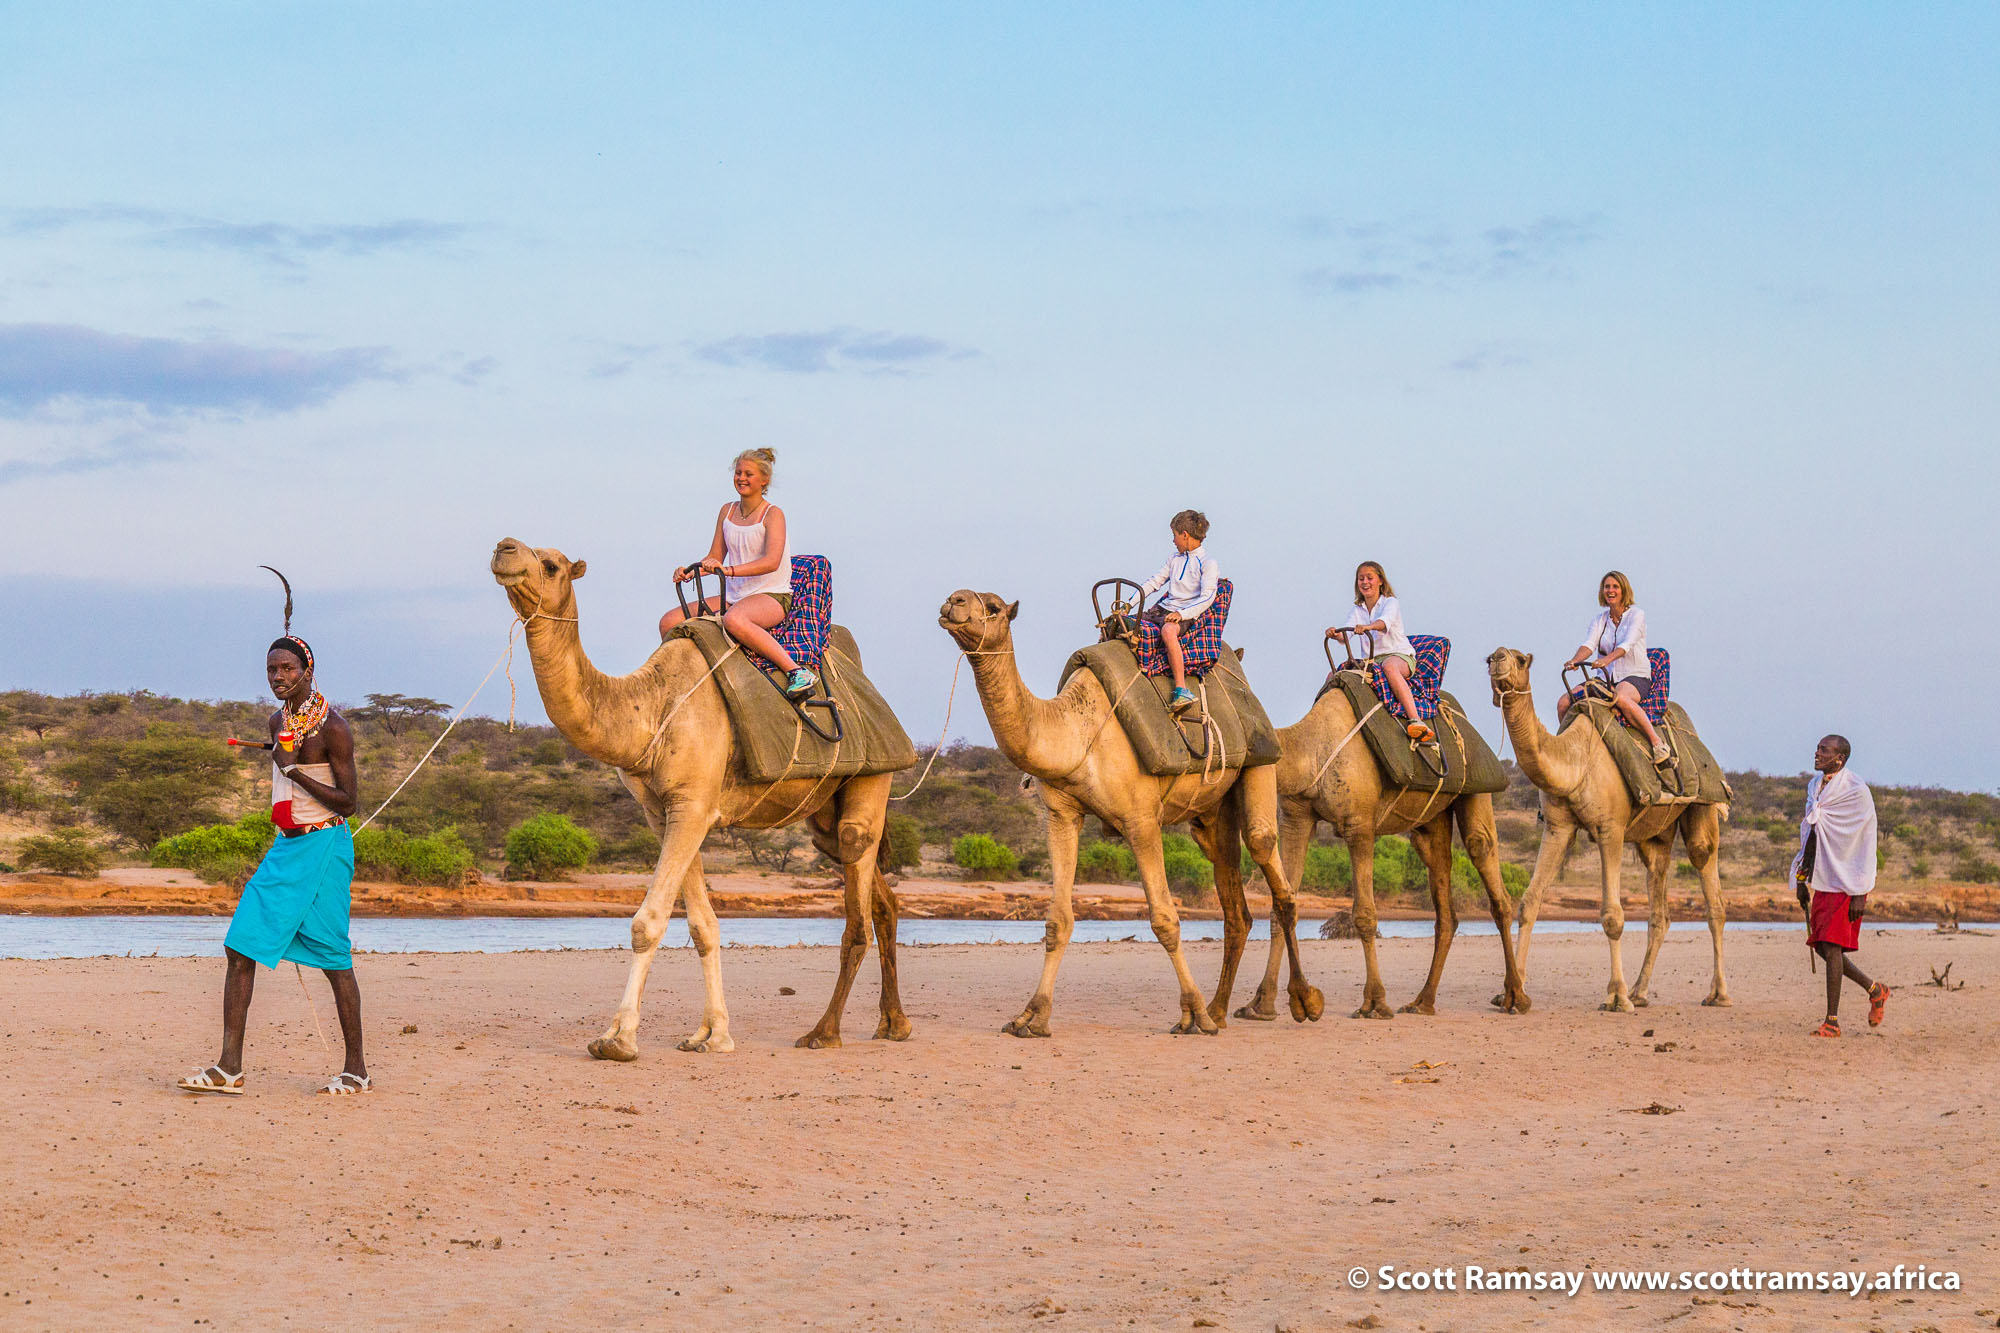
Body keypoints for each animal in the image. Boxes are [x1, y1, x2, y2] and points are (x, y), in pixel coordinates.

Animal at [491, 538, 908, 1059]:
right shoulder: (665, 811)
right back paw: (894, 1024)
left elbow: (647, 922)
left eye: (550, 564)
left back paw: (823, 1032)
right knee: (880, 899)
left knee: (856, 901)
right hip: (823, 816)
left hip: (876, 774)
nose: (504, 548)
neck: (650, 707)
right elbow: (702, 926)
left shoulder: (691, 807)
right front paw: (712, 1034)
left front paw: (618, 1038)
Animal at [938, 591, 1323, 1036]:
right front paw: (1031, 1017)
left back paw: (1301, 1001)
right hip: (1211, 813)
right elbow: (1058, 921)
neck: (1074, 730)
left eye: (994, 607)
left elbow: (1165, 919)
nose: (953, 601)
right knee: (1235, 902)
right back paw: (1220, 1010)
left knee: (1274, 872)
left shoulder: (1141, 821)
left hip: (1261, 760)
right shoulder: (1062, 815)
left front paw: (1191, 1015)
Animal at [1272, 683, 1529, 1019]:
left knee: (1484, 858)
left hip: (1478, 788)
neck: (1309, 749)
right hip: (1431, 822)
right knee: (1443, 893)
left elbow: (1365, 914)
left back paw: (1514, 997)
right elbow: (1281, 906)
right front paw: (1260, 1004)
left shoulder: (1359, 825)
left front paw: (1374, 1004)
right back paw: (1423, 1001)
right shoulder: (1295, 818)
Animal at [1485, 648, 1730, 1012]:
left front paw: (1616, 997)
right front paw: (1512, 994)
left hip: (1704, 805)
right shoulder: (1557, 828)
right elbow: (1529, 903)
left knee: (1712, 892)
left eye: (1519, 659)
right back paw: (1641, 992)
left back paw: (1718, 994)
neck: (1575, 761)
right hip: (1653, 836)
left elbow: (1612, 916)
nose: (1497, 657)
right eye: (1492, 657)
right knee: (1659, 904)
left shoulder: (1610, 828)